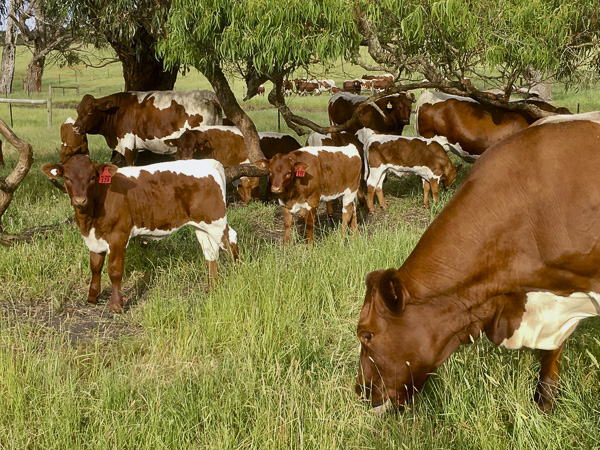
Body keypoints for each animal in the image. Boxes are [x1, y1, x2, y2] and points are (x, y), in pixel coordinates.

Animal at [41, 156, 239, 314]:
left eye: (92, 177)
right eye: (67, 177)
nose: (80, 200)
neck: (89, 220)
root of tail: (209, 162)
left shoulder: (118, 236)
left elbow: (114, 271)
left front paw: (116, 306)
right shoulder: (94, 238)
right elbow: (95, 266)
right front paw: (92, 297)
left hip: (216, 221)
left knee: (231, 241)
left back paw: (238, 277)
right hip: (202, 225)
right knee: (210, 251)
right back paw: (212, 288)